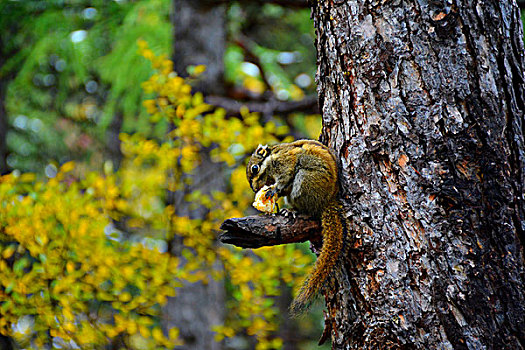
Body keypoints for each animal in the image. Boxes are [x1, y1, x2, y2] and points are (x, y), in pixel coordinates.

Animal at [247, 139, 344, 314]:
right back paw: (288, 211)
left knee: (309, 209)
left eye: (255, 168)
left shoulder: (285, 162)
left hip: (305, 181)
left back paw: (296, 212)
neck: (271, 159)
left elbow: (285, 177)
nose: (255, 189)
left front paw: (273, 190)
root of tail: (327, 201)